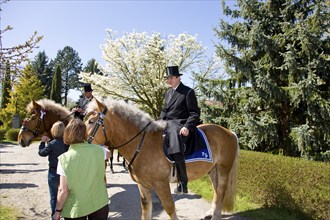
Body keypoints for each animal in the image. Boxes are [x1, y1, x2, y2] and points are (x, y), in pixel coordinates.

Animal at [85, 98, 240, 220]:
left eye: (91, 121)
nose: (81, 141)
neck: (143, 144)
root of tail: (229, 132)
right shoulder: (143, 186)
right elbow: (146, 210)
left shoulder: (162, 185)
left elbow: (170, 208)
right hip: (213, 170)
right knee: (216, 190)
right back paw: (211, 212)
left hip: (223, 168)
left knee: (221, 190)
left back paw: (216, 215)